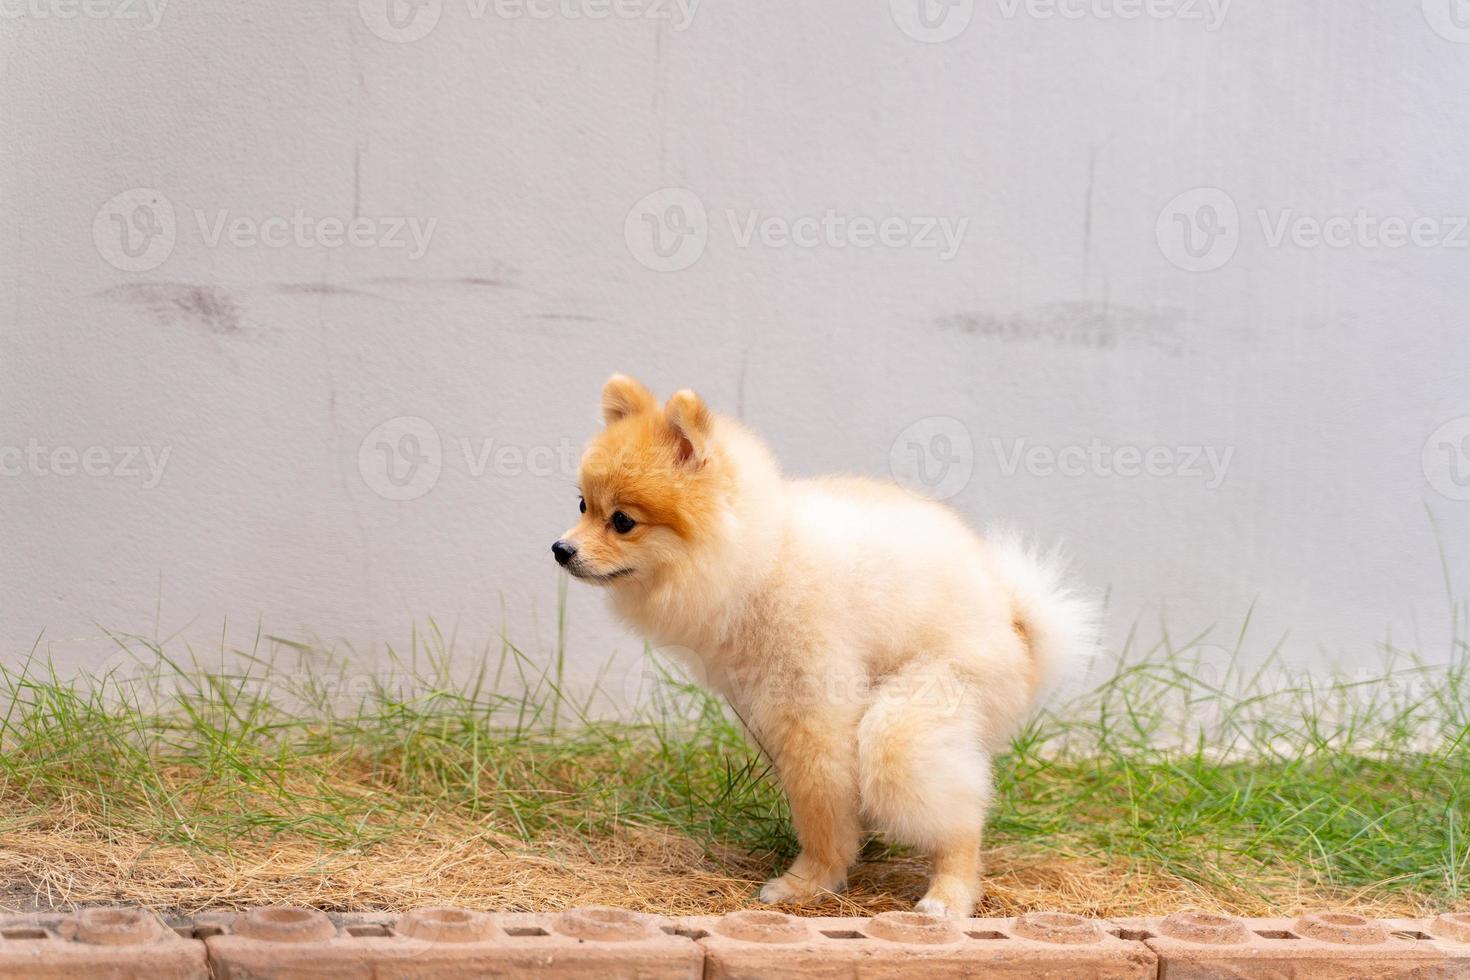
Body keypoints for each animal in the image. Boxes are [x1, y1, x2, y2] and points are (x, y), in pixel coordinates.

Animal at [555, 379, 1099, 922]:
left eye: (622, 521)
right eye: (582, 506)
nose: (561, 549)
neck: (762, 559)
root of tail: (1016, 625)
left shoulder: (811, 705)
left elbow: (820, 801)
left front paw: (809, 881)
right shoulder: (765, 708)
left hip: (929, 703)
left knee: (944, 803)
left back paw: (948, 894)